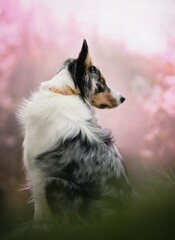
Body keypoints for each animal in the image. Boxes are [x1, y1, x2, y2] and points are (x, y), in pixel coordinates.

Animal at [18, 39, 131, 221]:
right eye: (102, 83)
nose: (123, 98)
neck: (63, 92)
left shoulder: (38, 175)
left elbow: (40, 215)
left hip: (54, 183)